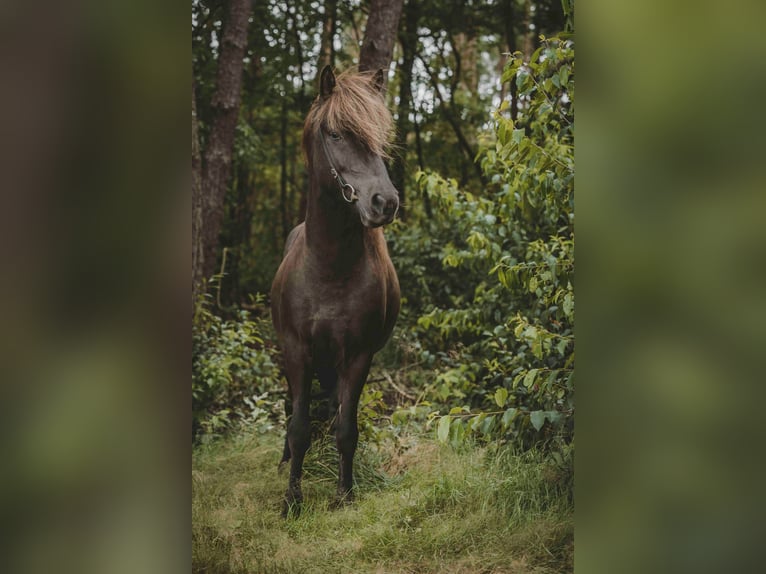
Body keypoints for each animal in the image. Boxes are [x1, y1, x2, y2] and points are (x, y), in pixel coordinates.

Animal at [270, 67, 402, 516]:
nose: (385, 202)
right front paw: (292, 498)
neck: (329, 268)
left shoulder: (358, 355)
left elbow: (346, 428)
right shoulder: (296, 350)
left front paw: (344, 492)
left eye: (379, 135)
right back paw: (285, 462)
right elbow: (298, 426)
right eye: (335, 134)